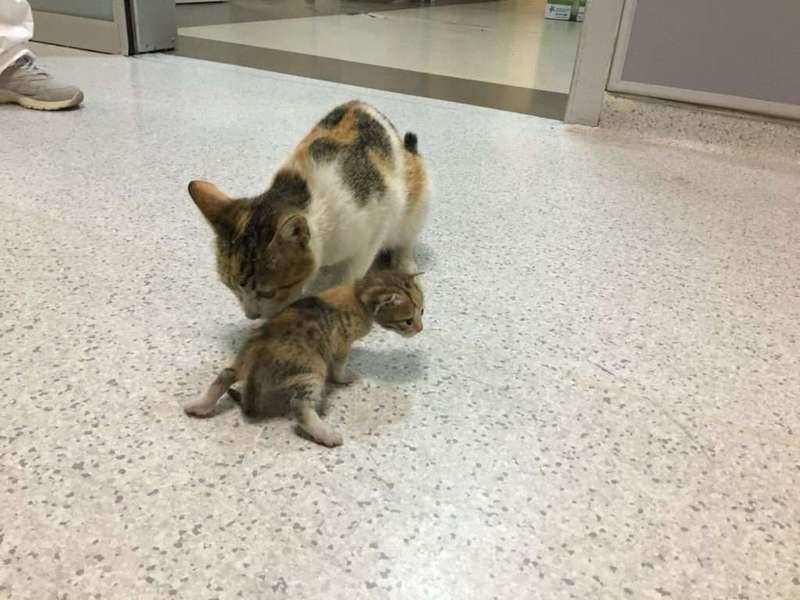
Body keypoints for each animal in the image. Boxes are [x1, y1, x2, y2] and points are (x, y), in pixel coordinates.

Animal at [182, 270, 424, 447]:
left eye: (422, 311)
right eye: (408, 321)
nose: (421, 329)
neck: (358, 294)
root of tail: (256, 361)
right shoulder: (342, 344)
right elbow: (339, 366)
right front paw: (344, 377)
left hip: (242, 359)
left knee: (225, 374)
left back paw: (199, 406)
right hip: (313, 371)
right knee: (300, 407)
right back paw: (327, 434)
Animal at [188, 100, 429, 320]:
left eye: (268, 292)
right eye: (231, 288)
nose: (251, 316)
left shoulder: (375, 226)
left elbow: (350, 274)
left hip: (418, 199)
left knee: (405, 238)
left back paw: (405, 264)